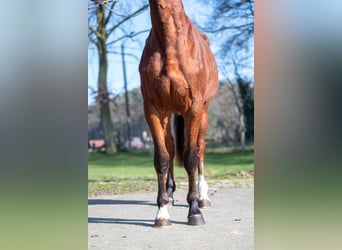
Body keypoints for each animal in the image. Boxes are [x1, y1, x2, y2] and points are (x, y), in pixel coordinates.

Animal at [138, 0, 216, 227]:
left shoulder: (194, 108)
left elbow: (191, 157)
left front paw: (194, 211)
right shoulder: (153, 109)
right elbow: (162, 157)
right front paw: (162, 212)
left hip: (203, 114)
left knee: (200, 148)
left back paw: (203, 197)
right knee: (172, 148)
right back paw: (171, 195)